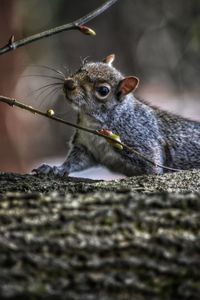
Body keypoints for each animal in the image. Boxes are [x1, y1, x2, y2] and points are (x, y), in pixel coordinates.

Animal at [32, 54, 200, 177]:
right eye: (81, 67)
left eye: (103, 91)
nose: (68, 84)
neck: (92, 121)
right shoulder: (86, 148)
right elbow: (74, 162)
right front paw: (55, 169)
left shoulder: (143, 142)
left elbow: (153, 168)